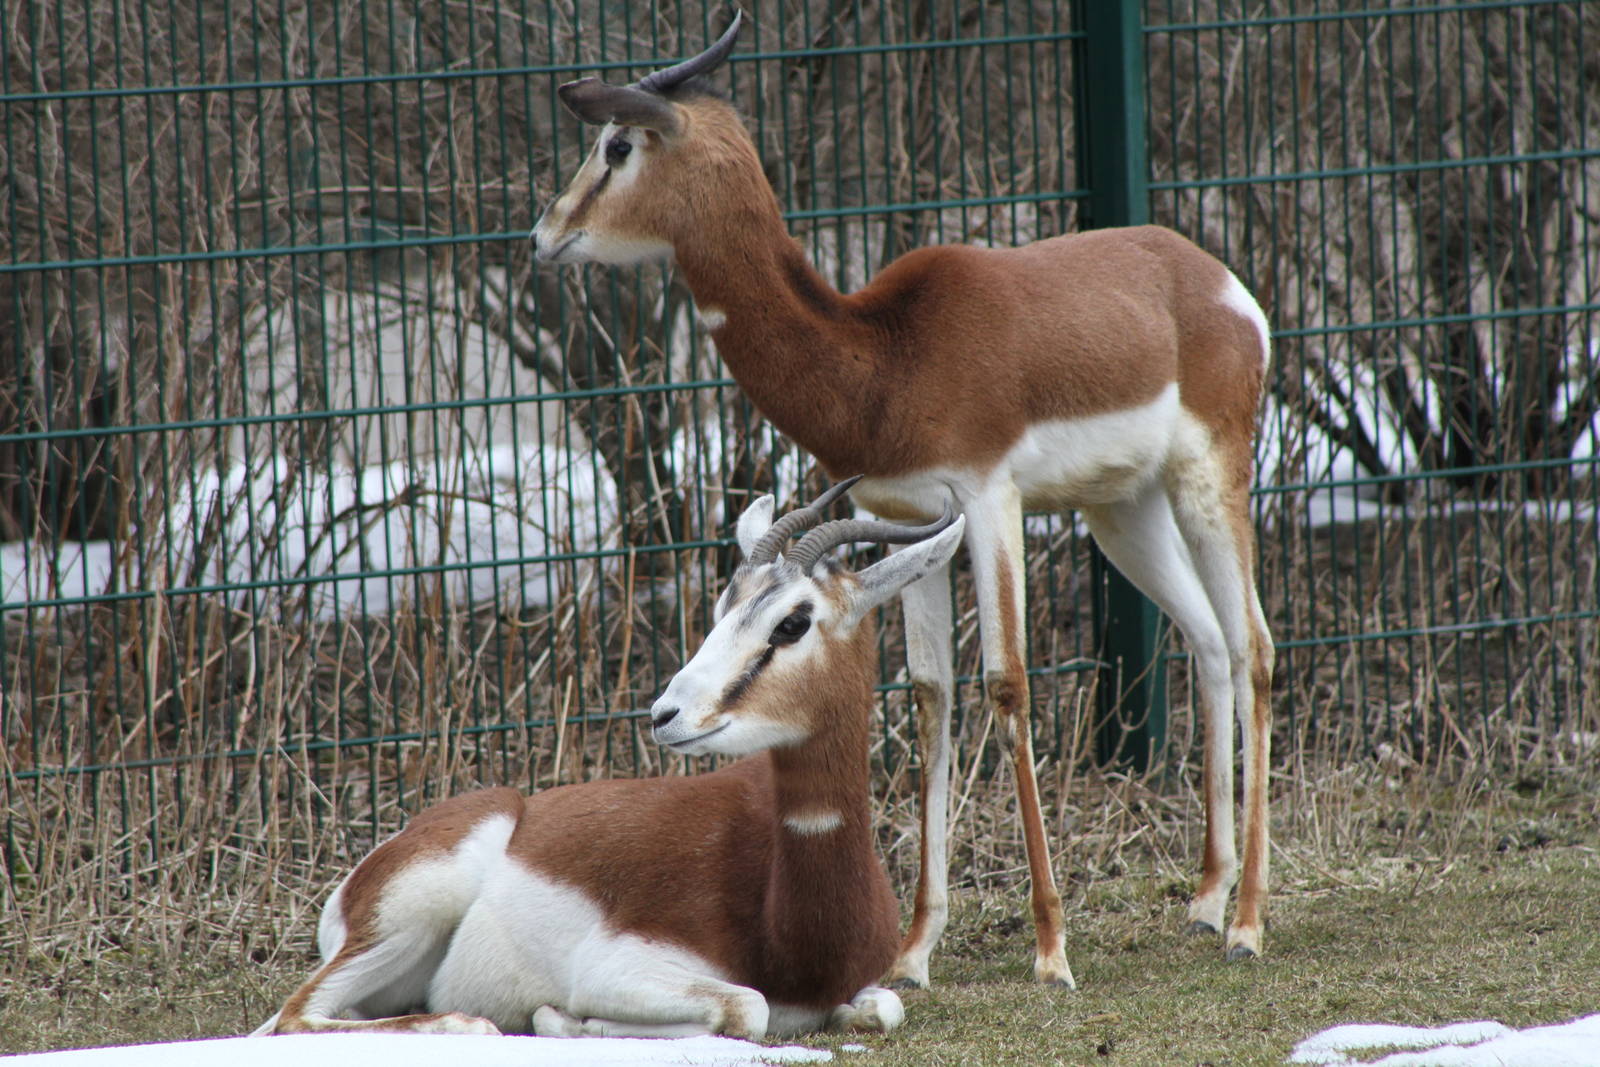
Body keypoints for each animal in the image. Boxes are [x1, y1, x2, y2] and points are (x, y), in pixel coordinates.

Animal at [253, 480, 965, 1040]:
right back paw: (470, 1022)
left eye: (793, 622)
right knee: (291, 1017)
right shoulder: (618, 968)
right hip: (410, 917)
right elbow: (749, 1008)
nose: (665, 714)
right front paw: (564, 1020)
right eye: (722, 608)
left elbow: (885, 1008)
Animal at [531, 12, 1276, 989]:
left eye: (616, 145)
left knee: (1255, 646)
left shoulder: (988, 499)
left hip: (1210, 478)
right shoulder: (913, 518)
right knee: (1208, 642)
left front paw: (1051, 950)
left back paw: (1249, 922)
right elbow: (928, 695)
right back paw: (1205, 898)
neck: (885, 356)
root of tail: (1222, 286)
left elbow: (1006, 686)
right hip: (1125, 512)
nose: (545, 231)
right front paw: (916, 950)